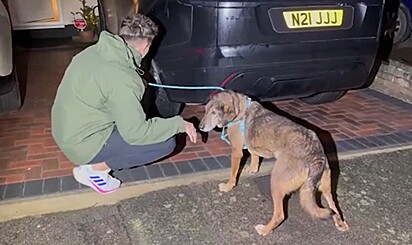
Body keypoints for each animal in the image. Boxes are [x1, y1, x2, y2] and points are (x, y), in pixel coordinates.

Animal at [198, 90, 350, 235]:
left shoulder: (236, 152)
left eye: (214, 113)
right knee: (334, 206)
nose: (200, 127)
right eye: (205, 110)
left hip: (276, 182)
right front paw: (252, 169)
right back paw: (341, 223)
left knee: (280, 215)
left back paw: (265, 230)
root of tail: (316, 155)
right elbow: (254, 156)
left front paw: (228, 186)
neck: (241, 108)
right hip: (326, 188)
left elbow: (233, 174)